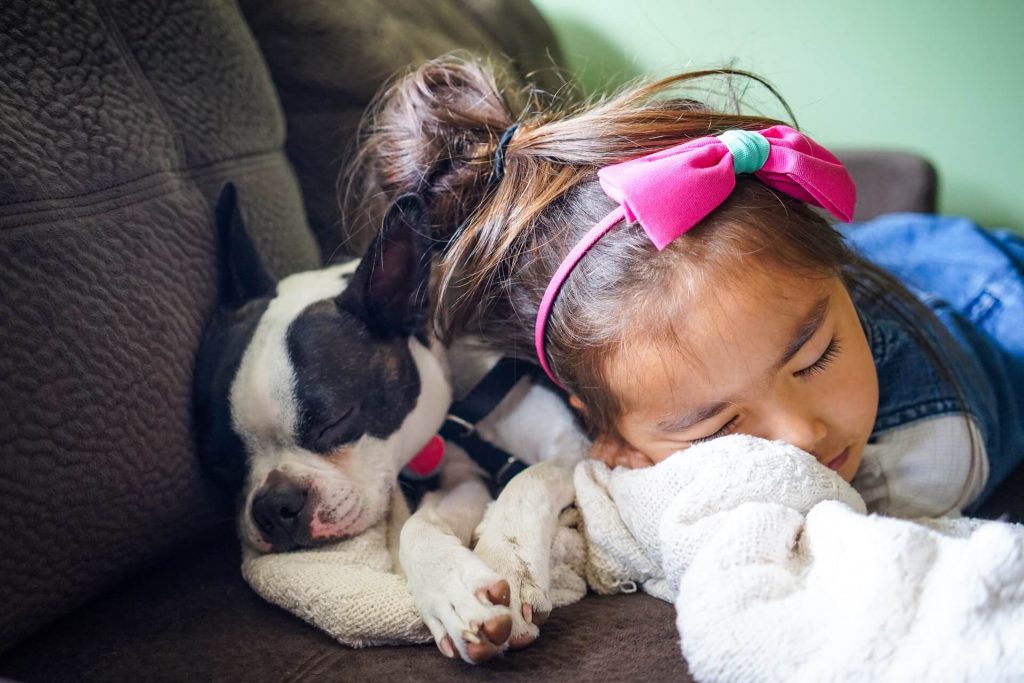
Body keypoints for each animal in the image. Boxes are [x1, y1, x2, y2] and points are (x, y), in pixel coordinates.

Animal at [195, 185, 589, 663]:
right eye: (221, 464)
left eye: (335, 422)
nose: (274, 505)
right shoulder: (459, 475)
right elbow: (417, 527)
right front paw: (453, 593)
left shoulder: (573, 444)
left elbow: (529, 480)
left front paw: (508, 562)